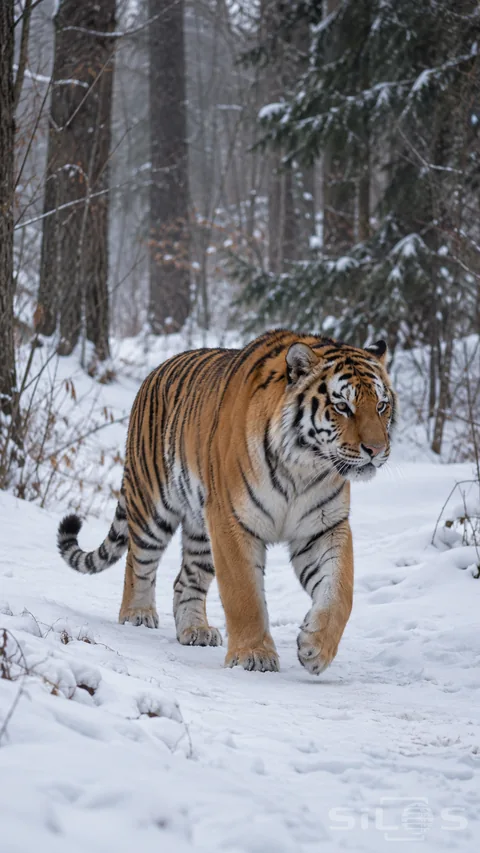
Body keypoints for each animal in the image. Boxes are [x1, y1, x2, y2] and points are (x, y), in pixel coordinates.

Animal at [57, 329, 397, 675]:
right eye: (342, 406)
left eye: (382, 405)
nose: (376, 449)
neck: (304, 466)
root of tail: (154, 372)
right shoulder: (233, 521)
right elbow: (244, 594)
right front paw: (254, 655)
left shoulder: (322, 527)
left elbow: (339, 591)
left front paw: (316, 648)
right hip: (152, 506)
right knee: (138, 563)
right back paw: (136, 614)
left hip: (202, 529)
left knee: (185, 580)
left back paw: (195, 630)